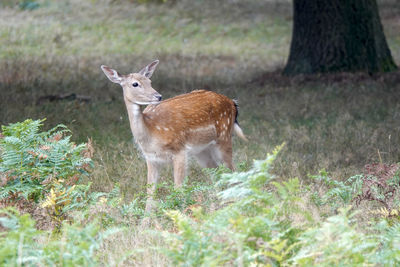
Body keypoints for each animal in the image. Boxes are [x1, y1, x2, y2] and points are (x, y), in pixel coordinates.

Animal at [101, 59, 245, 213]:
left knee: (233, 171)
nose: (158, 96)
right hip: (202, 150)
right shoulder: (151, 158)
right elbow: (150, 193)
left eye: (150, 81)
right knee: (216, 172)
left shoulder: (179, 149)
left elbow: (178, 188)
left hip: (224, 137)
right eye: (135, 84)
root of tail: (233, 103)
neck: (152, 134)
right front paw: (146, 219)